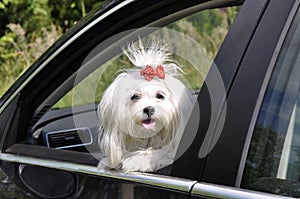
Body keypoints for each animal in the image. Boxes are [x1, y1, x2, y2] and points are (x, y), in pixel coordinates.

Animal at [97, 39, 193, 172]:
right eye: (135, 97)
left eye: (160, 96)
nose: (148, 109)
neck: (150, 138)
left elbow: (162, 152)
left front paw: (137, 160)